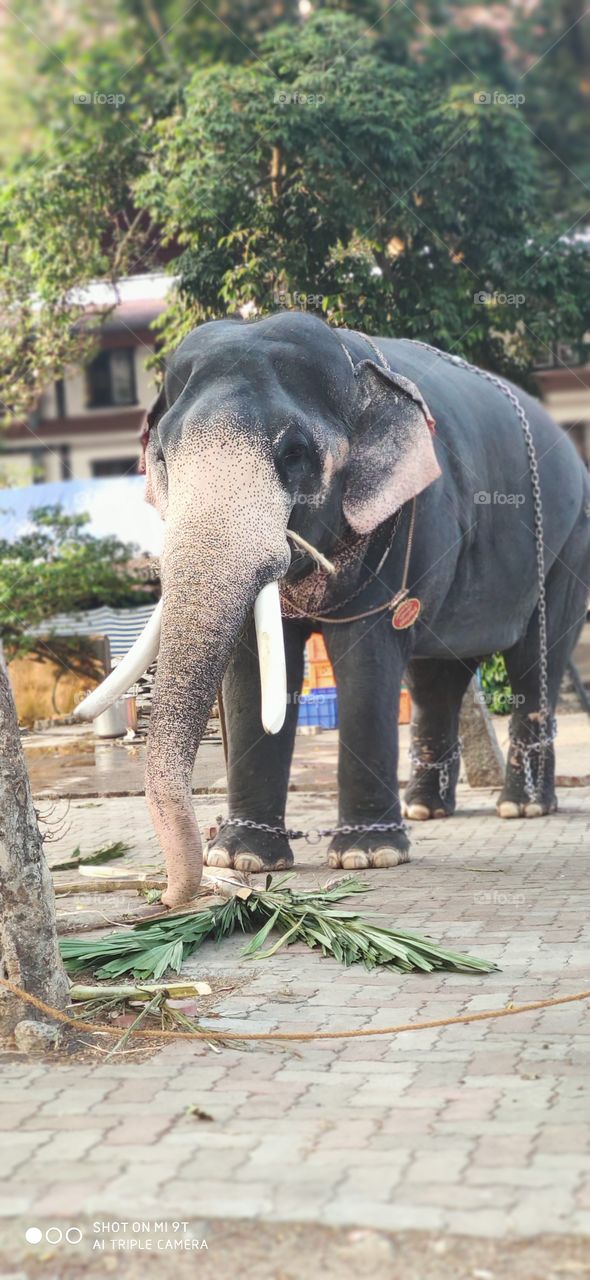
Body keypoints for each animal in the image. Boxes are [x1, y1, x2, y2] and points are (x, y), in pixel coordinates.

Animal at [76, 312, 590, 908]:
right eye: (160, 458)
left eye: (294, 453)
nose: (167, 898)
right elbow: (252, 668)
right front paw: (242, 860)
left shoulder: (407, 520)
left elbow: (366, 658)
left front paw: (369, 858)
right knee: (436, 675)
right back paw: (426, 810)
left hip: (568, 542)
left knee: (534, 661)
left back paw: (521, 807)